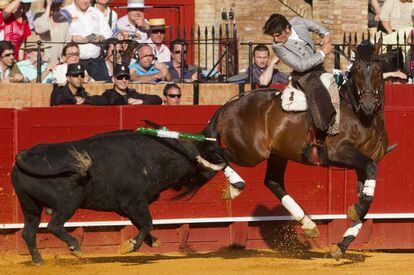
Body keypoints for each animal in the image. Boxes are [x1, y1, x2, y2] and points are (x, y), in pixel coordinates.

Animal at [10, 130, 223, 266]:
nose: (218, 163)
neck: (150, 159)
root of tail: (25, 156)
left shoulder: (127, 207)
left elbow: (142, 224)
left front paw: (152, 242)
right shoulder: (134, 202)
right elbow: (147, 223)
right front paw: (130, 246)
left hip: (29, 206)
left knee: (28, 232)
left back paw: (39, 261)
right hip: (68, 203)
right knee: (54, 225)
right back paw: (75, 247)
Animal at [202, 42, 390, 260]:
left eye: (378, 69)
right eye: (358, 69)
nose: (368, 104)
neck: (363, 117)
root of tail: (228, 105)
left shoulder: (361, 163)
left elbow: (367, 194)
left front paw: (342, 244)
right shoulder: (339, 152)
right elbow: (372, 170)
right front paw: (354, 214)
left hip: (276, 154)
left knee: (273, 181)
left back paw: (308, 224)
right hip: (250, 153)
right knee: (215, 151)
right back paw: (235, 186)